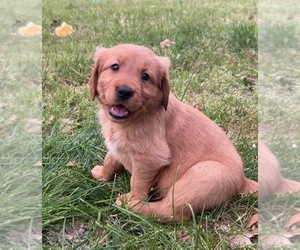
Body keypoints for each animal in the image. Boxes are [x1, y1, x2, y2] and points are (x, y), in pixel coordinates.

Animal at [89, 44, 258, 222]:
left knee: (170, 211)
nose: (124, 91)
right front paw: (102, 174)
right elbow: (110, 159)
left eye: (145, 76)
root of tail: (243, 180)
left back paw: (131, 207)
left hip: (204, 175)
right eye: (115, 67)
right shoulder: (116, 145)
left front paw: (132, 198)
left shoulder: (150, 158)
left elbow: (137, 182)